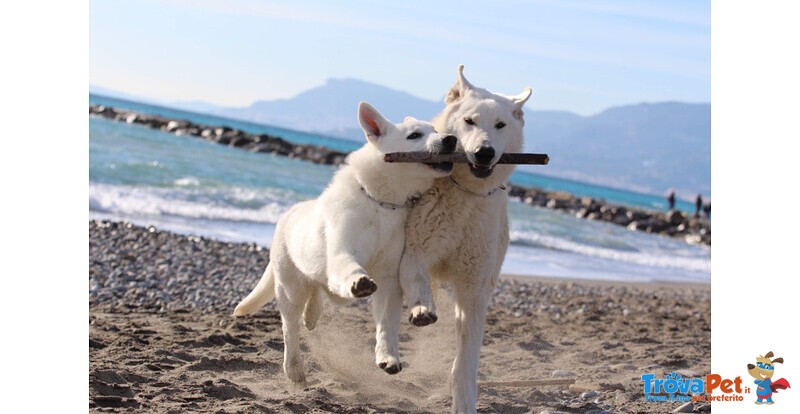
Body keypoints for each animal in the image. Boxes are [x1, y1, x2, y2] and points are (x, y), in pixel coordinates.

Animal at [234, 102, 454, 384]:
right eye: (414, 135)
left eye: (436, 130)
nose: (451, 139)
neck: (381, 204)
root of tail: (287, 214)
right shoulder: (342, 253)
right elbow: (351, 267)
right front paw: (358, 281)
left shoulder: (388, 279)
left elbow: (387, 324)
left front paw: (388, 357)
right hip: (291, 288)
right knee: (290, 327)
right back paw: (294, 368)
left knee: (319, 290)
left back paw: (312, 316)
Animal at [398, 66, 532, 412]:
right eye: (470, 121)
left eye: (500, 125)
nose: (484, 152)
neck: (465, 195)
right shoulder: (415, 250)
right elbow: (417, 277)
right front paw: (422, 309)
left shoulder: (475, 288)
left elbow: (466, 361)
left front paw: (464, 400)